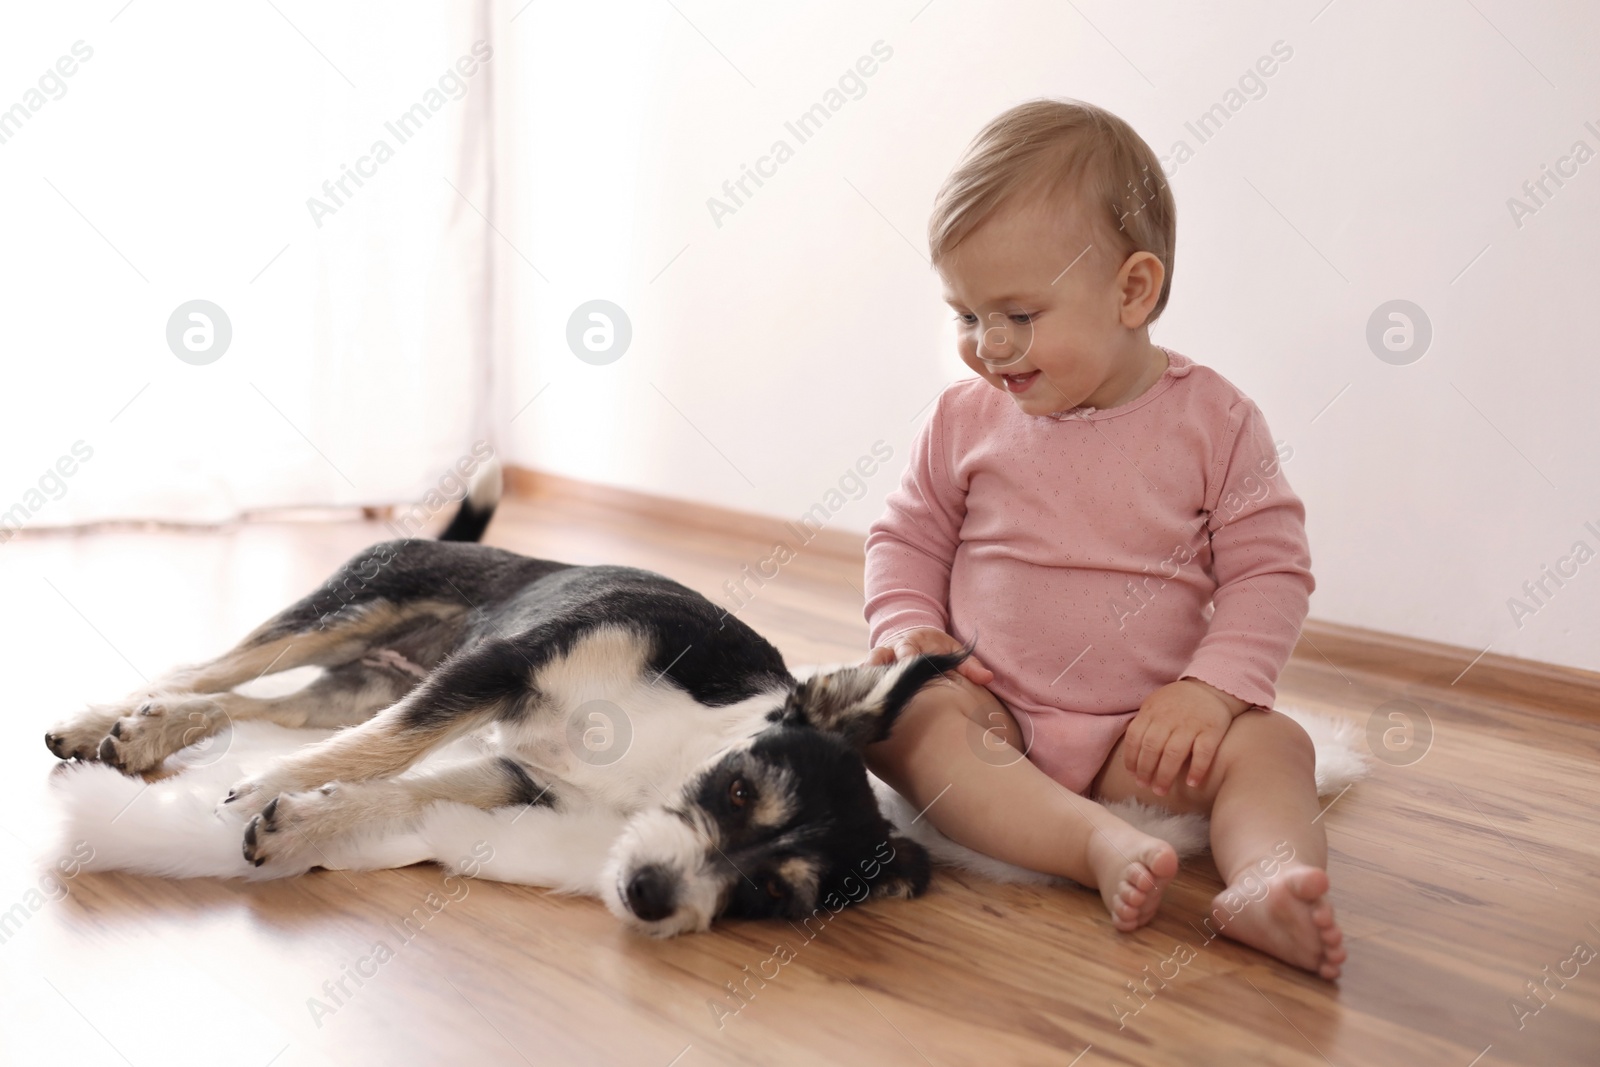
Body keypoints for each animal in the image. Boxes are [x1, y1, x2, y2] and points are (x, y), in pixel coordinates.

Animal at [40, 476, 960, 934]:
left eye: (771, 894)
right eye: (739, 790)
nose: (652, 895)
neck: (661, 759)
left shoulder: (516, 772)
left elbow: (401, 790)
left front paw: (302, 820)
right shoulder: (499, 668)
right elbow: (387, 751)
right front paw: (267, 788)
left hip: (357, 682)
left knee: (254, 706)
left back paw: (150, 731)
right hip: (351, 609)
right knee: (210, 667)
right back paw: (106, 720)